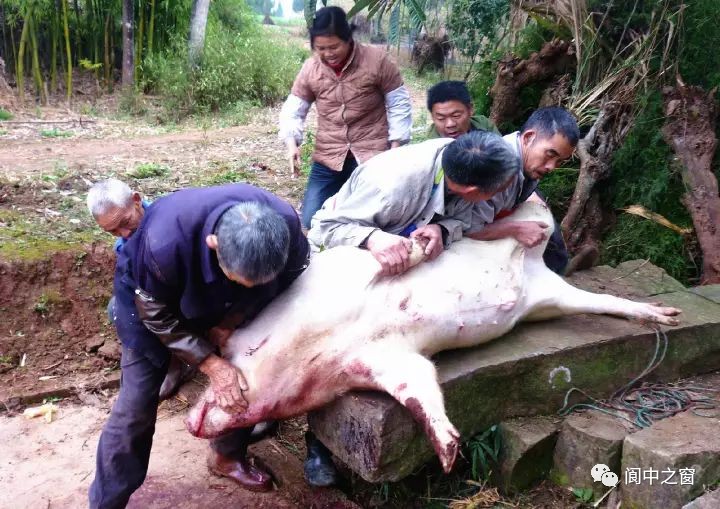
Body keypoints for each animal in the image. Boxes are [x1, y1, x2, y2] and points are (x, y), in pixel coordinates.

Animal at [187, 200, 680, 470]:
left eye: (231, 355)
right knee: (597, 298)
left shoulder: (345, 274)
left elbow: (396, 255)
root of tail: (536, 265)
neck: (310, 347)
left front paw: (420, 246)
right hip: (550, 301)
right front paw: (448, 454)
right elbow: (419, 388)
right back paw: (665, 316)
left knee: (533, 212)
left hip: (540, 247)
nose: (191, 425)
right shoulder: (386, 360)